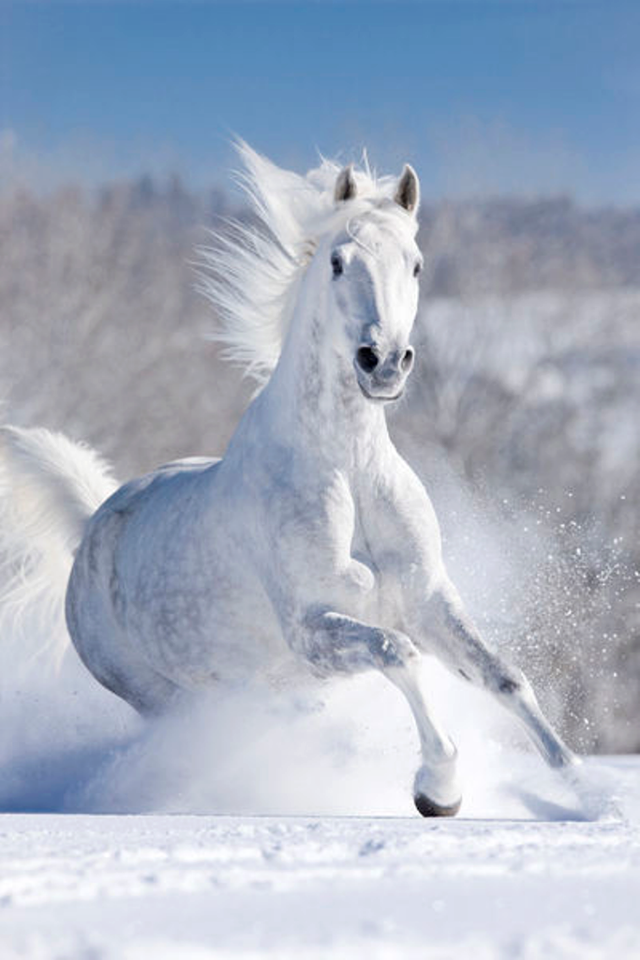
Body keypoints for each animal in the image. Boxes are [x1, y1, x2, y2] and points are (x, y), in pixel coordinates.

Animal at [0, 143, 578, 817]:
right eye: (337, 261)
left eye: (415, 264)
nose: (383, 363)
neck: (348, 469)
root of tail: (91, 525)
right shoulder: (312, 628)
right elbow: (398, 653)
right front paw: (439, 788)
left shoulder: (428, 598)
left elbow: (502, 675)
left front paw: (579, 785)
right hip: (170, 697)